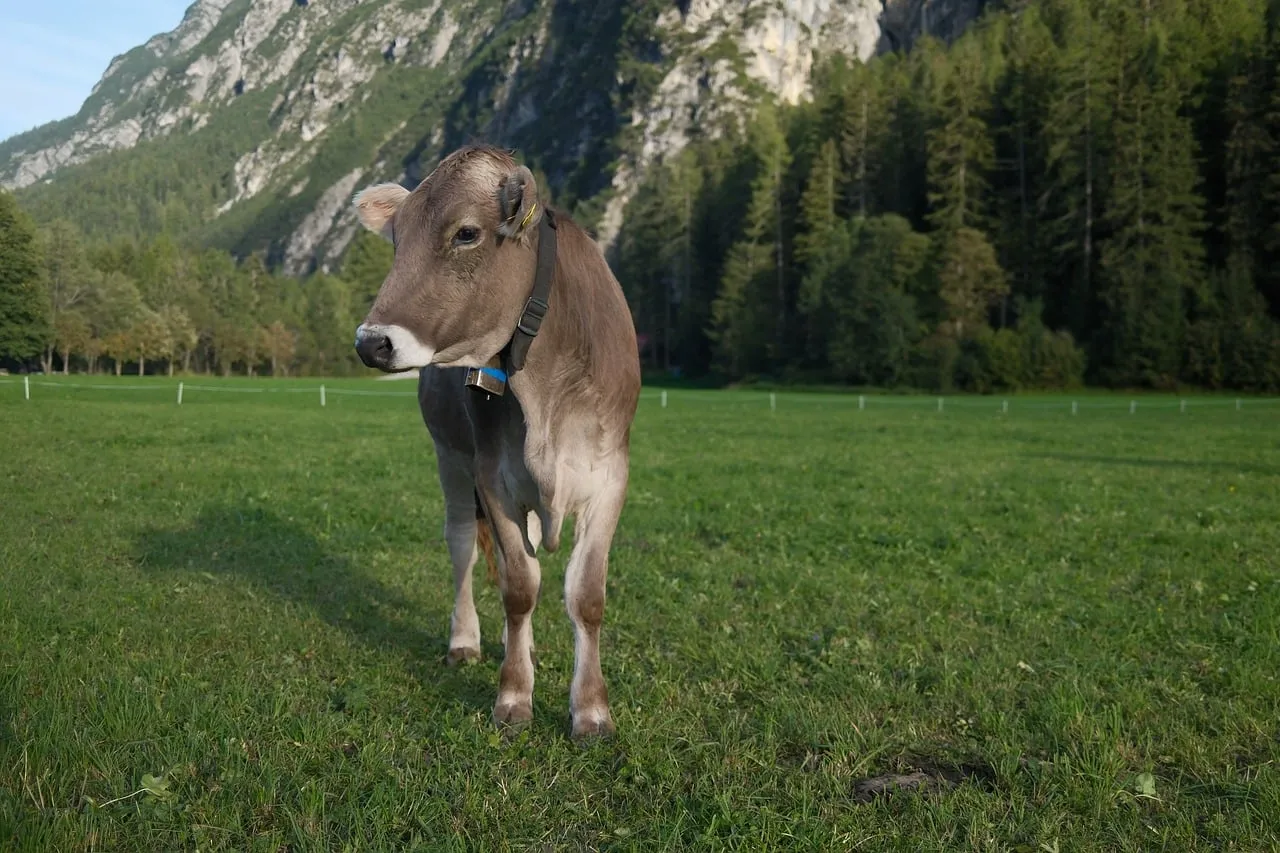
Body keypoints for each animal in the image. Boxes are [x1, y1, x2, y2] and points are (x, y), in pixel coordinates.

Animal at [350, 144, 641, 739]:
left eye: (466, 234)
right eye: (397, 238)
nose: (371, 343)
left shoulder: (610, 476)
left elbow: (586, 595)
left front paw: (591, 710)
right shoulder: (493, 476)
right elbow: (519, 587)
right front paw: (513, 696)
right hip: (450, 457)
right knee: (464, 543)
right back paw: (466, 640)